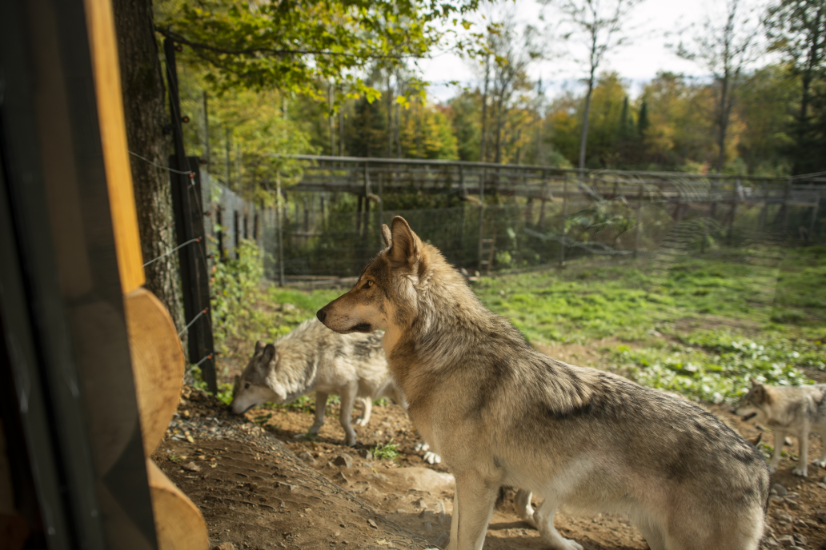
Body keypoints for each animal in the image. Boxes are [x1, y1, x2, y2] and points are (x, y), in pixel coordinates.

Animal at [318, 218, 772, 550]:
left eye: (367, 284)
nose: (320, 312)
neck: (446, 352)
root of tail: (759, 462)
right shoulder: (466, 481)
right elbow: (454, 537)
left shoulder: (480, 482)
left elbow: (468, 542)